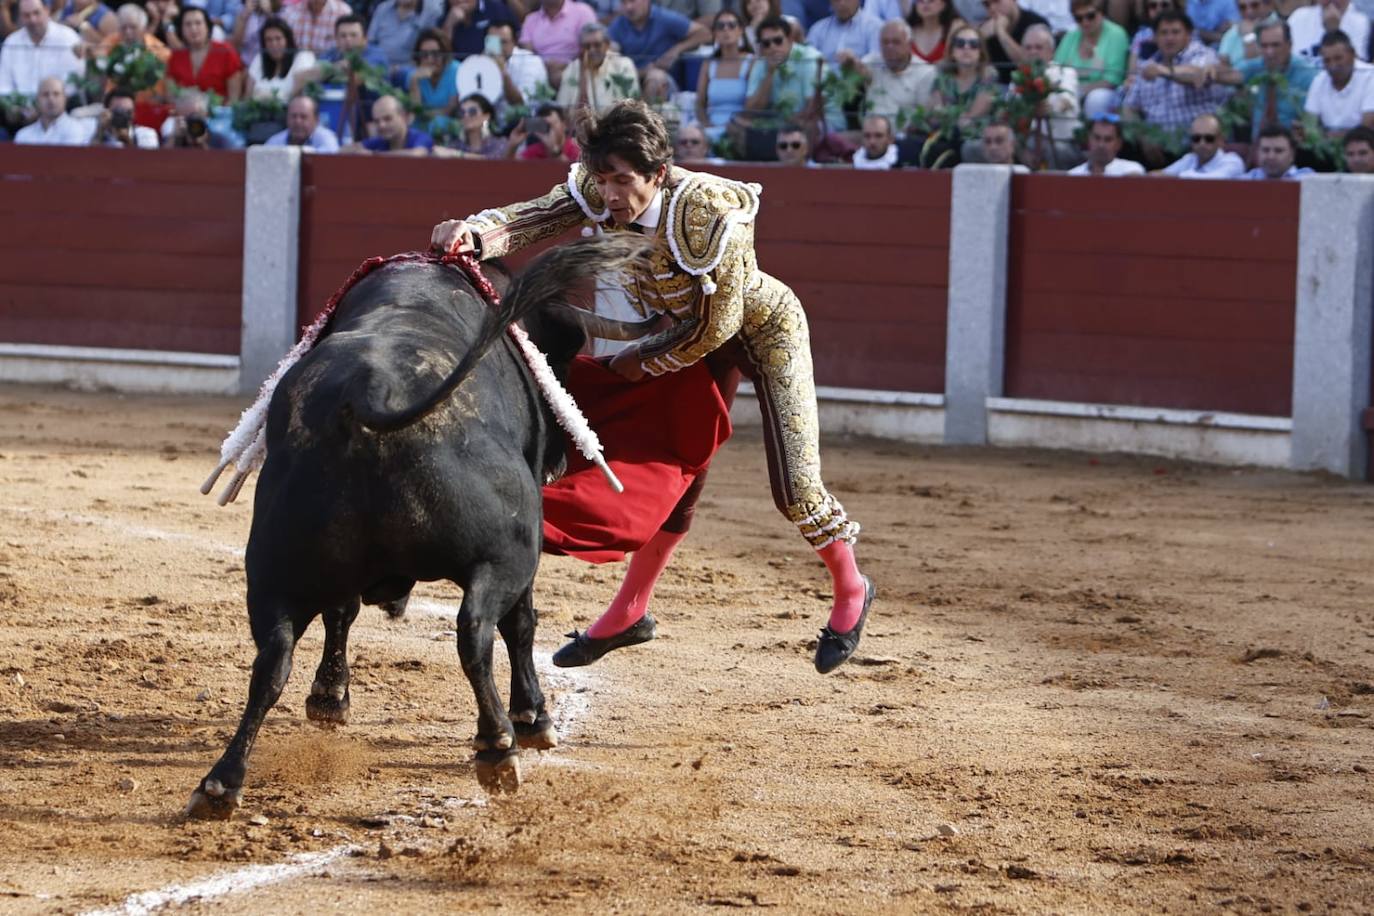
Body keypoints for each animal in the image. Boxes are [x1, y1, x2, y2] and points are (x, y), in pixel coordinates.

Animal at [186, 234, 654, 818]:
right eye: (561, 355)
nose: (561, 459)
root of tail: (368, 394)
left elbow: (339, 614)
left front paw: (329, 699)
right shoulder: (522, 548)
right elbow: (520, 624)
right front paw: (534, 719)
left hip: (272, 568)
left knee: (272, 660)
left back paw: (220, 784)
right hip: (508, 553)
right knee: (478, 631)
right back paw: (497, 746)